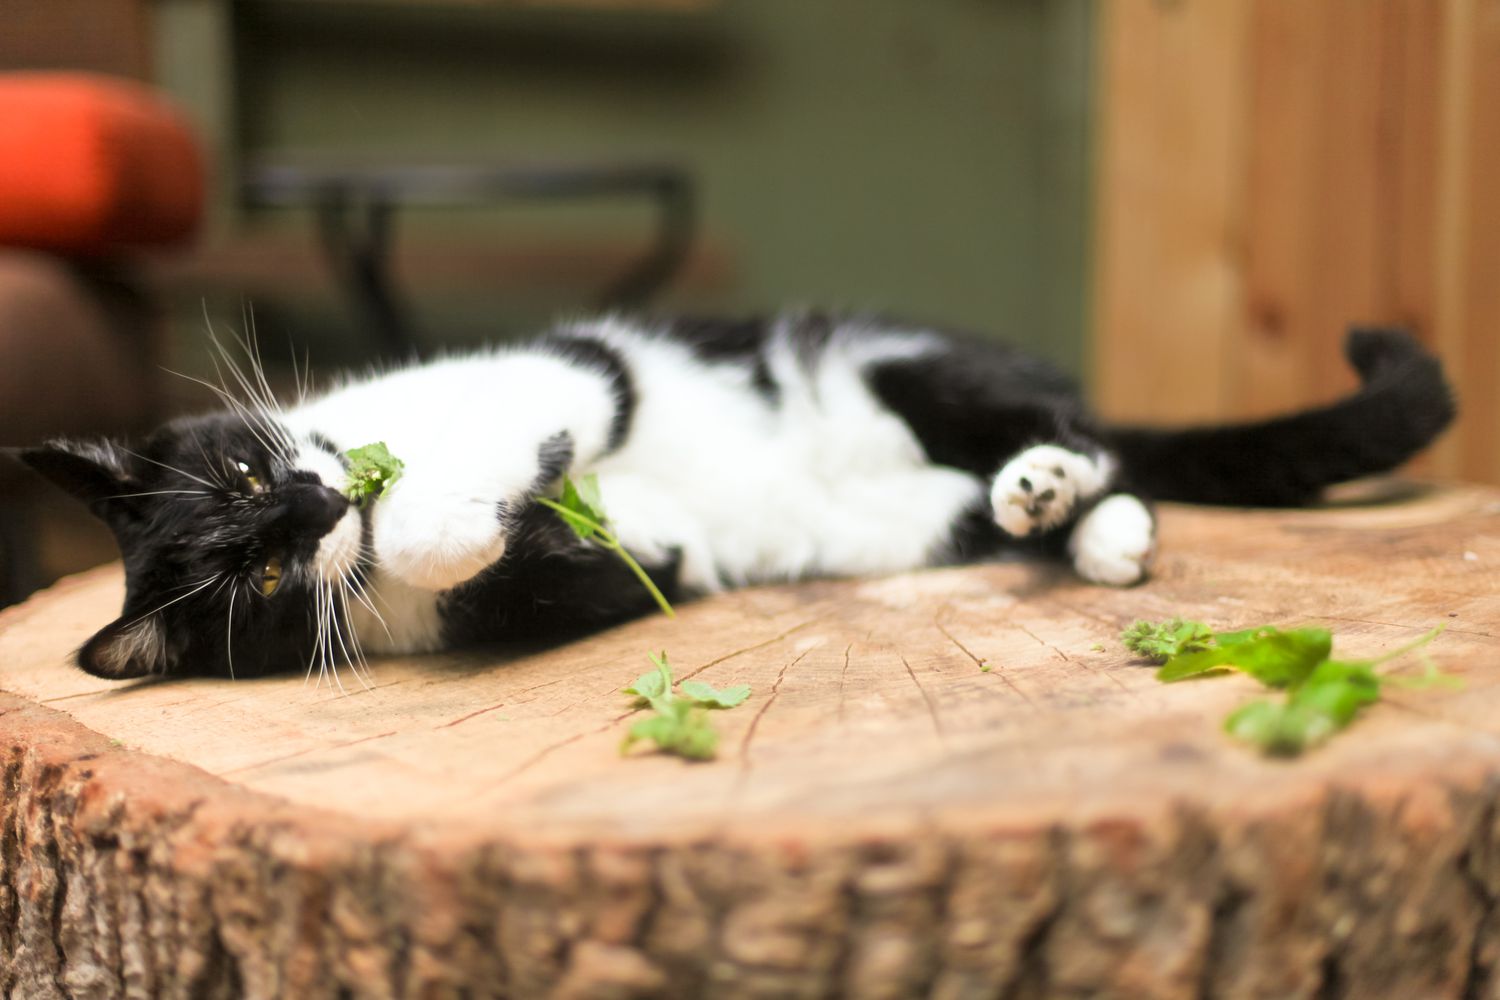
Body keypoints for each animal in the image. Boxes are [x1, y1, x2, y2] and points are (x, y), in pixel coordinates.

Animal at [14, 316, 1452, 683]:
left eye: (246, 472)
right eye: (255, 580)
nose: (315, 517)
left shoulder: (565, 373)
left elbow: (530, 418)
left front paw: (429, 505)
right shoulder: (619, 567)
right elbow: (550, 559)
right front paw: (451, 531)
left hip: (911, 365)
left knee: (1090, 440)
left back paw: (1067, 489)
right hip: (928, 515)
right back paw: (1072, 524)